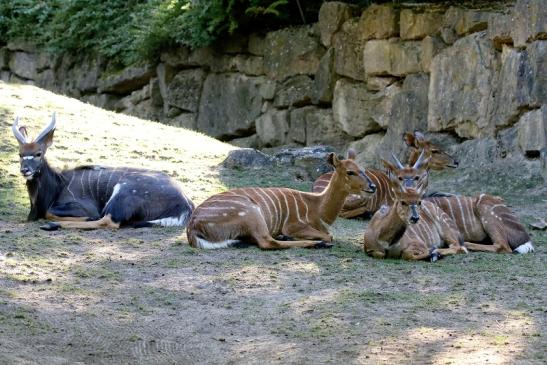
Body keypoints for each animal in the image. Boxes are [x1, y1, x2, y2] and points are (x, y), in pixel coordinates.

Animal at [11, 112, 196, 229]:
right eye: (20, 154)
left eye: (38, 153)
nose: (25, 170)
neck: (57, 186)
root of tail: (185, 204)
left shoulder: (85, 206)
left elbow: (50, 212)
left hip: (122, 193)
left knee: (108, 221)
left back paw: (53, 225)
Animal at [188, 149, 376, 249]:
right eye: (350, 172)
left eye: (363, 169)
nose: (372, 186)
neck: (316, 208)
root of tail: (192, 226)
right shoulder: (293, 225)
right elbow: (329, 236)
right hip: (252, 213)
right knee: (267, 242)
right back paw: (314, 244)